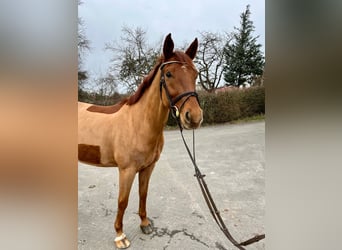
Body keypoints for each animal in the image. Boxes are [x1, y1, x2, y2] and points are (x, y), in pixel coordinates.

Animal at [79, 34, 202, 249]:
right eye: (168, 74)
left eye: (195, 75)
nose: (194, 117)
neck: (138, 123)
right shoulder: (126, 170)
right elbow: (122, 201)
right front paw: (120, 236)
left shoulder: (147, 167)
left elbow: (143, 194)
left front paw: (145, 224)